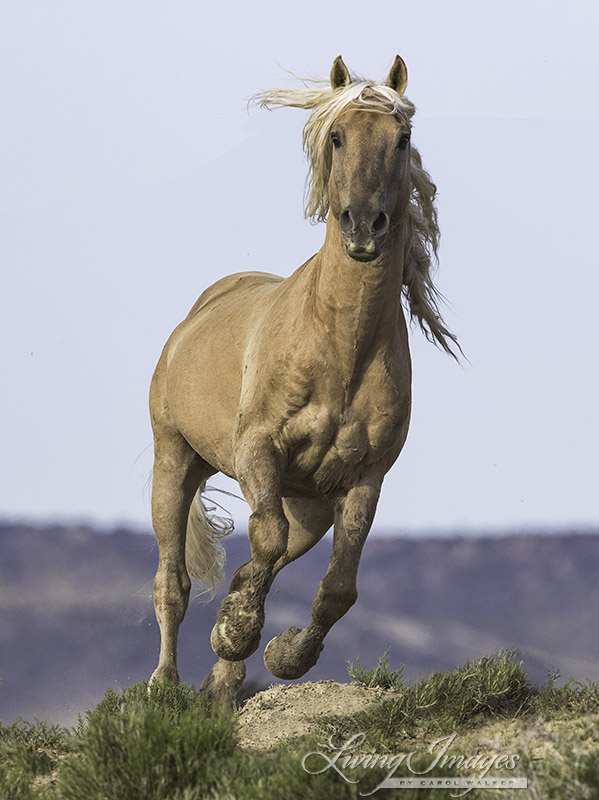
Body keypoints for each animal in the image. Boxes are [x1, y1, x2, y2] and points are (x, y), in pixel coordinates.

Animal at [150, 56, 460, 704]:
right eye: (336, 136)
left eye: (403, 138)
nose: (364, 226)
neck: (339, 350)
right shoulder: (257, 450)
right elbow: (262, 542)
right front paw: (238, 631)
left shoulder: (365, 478)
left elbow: (337, 586)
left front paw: (281, 652)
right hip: (176, 460)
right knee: (173, 580)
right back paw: (164, 687)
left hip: (309, 507)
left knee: (264, 558)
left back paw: (223, 686)